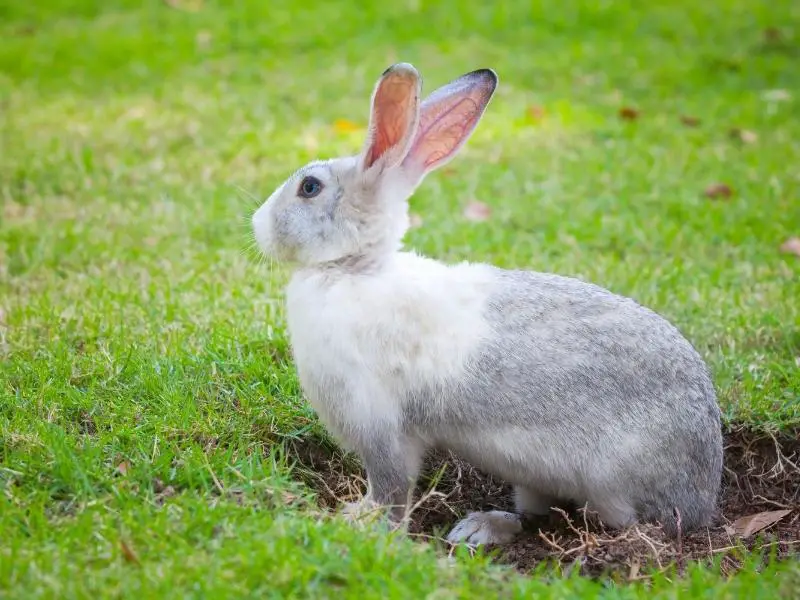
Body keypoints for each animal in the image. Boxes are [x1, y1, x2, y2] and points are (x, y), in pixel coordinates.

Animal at [253, 63, 728, 548]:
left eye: (309, 187)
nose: (257, 226)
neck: (356, 269)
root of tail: (703, 493)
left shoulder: (381, 425)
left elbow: (391, 488)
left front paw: (366, 526)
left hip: (610, 488)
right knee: (536, 514)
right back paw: (480, 527)